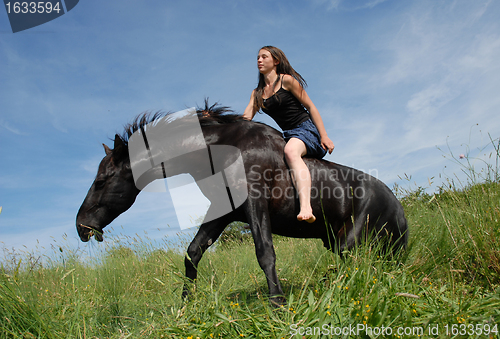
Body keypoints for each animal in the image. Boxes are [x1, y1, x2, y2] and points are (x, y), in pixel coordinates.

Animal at [76, 102, 408, 306]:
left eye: (102, 180)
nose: (82, 227)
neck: (225, 147)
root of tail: (399, 209)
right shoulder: (223, 212)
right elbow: (192, 254)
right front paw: (185, 305)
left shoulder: (254, 205)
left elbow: (265, 254)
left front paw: (278, 305)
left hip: (353, 244)